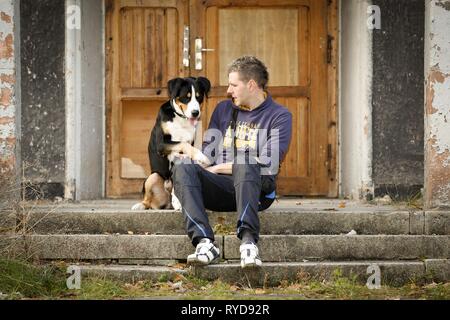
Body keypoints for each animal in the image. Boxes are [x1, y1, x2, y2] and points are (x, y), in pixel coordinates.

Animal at [132, 77, 211, 211]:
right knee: (148, 201)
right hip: (153, 176)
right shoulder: (162, 144)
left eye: (199, 97)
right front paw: (201, 156)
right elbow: (183, 144)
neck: (181, 120)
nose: (195, 113)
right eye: (186, 97)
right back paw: (141, 205)